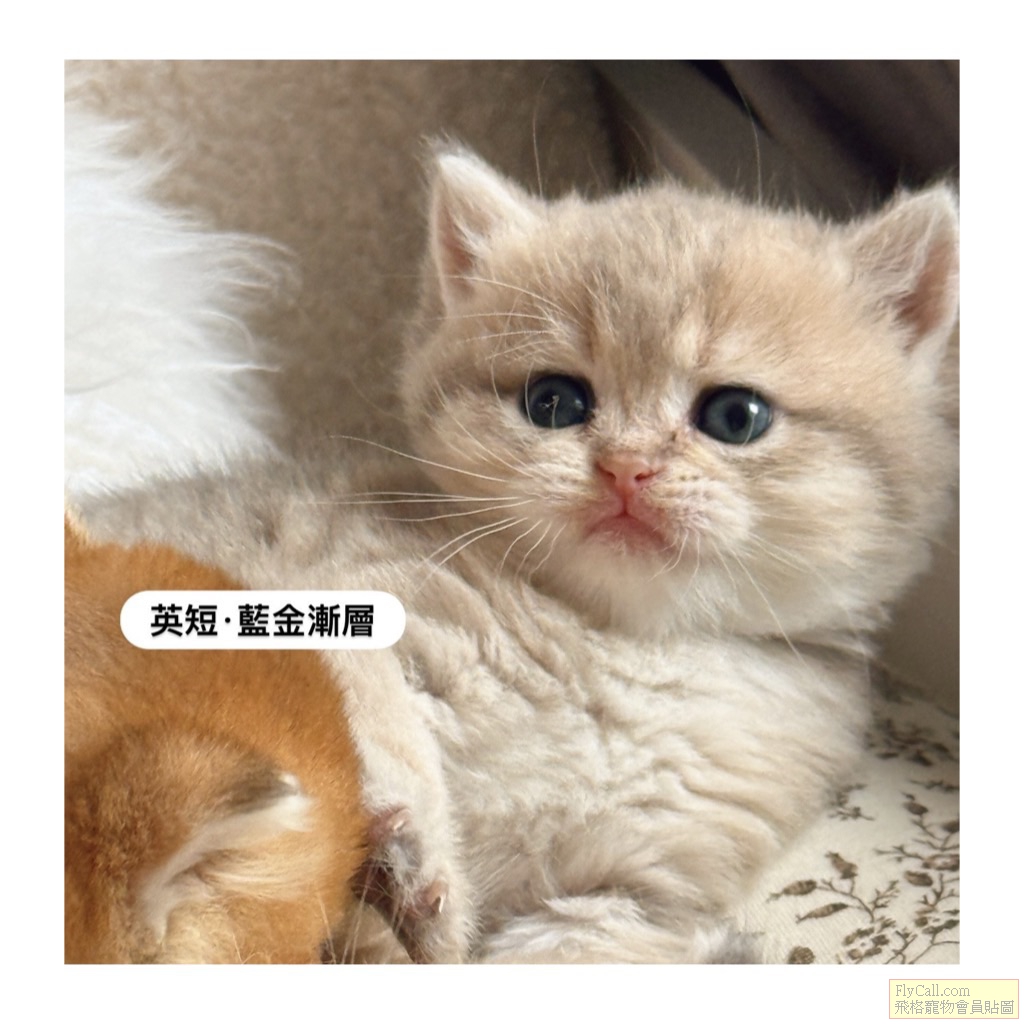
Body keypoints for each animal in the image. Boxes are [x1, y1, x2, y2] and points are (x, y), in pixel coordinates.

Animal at [229, 147, 959, 963]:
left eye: (736, 416)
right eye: (553, 402)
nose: (626, 468)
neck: (620, 649)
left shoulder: (626, 894)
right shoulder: (320, 592)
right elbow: (369, 711)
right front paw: (404, 862)